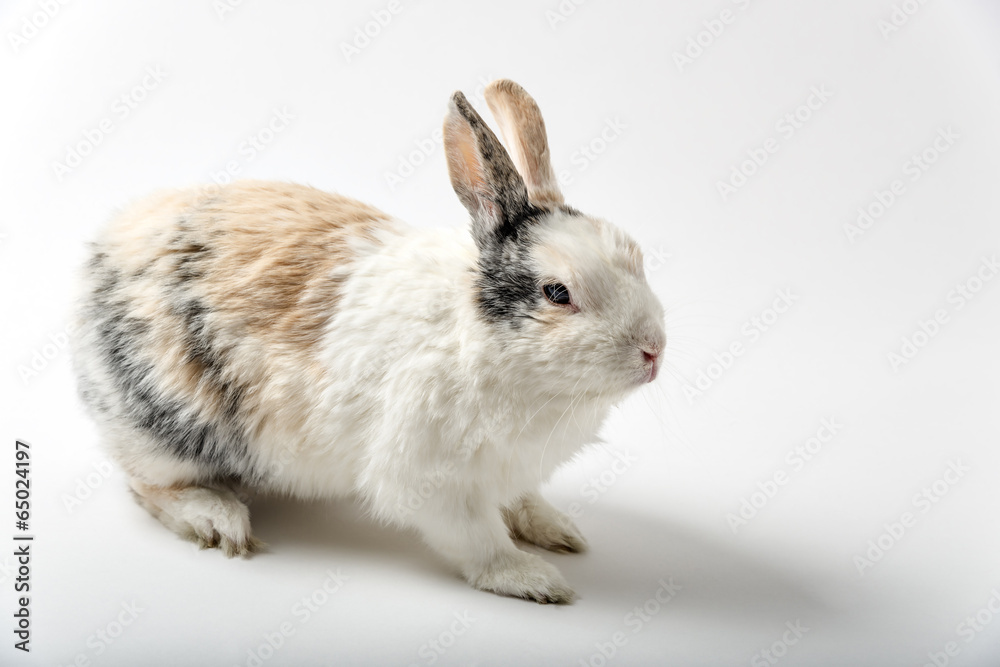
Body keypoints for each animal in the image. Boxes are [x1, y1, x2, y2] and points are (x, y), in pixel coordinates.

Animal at [71, 79, 665, 604]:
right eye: (557, 293)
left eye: (635, 254)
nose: (654, 352)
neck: (477, 333)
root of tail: (108, 244)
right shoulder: (431, 476)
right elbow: (478, 540)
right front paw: (534, 580)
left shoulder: (511, 469)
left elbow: (522, 503)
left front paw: (561, 532)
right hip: (167, 430)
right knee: (148, 487)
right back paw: (218, 520)